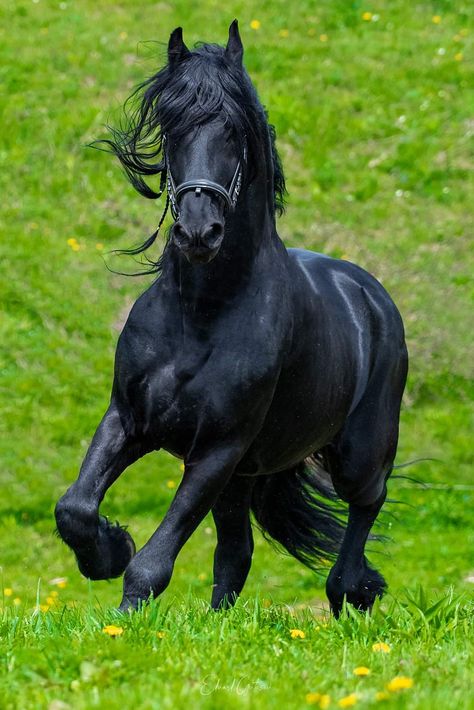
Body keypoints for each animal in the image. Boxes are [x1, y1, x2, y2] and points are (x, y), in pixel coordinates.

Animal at [55, 19, 408, 616]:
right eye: (171, 127)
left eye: (234, 131)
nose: (199, 231)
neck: (201, 316)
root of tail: (371, 296)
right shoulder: (128, 420)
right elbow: (75, 509)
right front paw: (108, 550)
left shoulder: (217, 450)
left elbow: (154, 561)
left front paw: (123, 619)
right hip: (245, 476)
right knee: (237, 554)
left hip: (356, 453)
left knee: (364, 509)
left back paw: (353, 594)